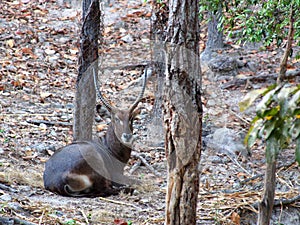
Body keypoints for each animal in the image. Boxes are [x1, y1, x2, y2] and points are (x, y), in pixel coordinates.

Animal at [43, 68, 148, 197]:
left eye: (131, 118)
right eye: (116, 118)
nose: (127, 136)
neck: (108, 147)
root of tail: (60, 180)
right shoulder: (116, 175)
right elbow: (138, 181)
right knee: (105, 190)